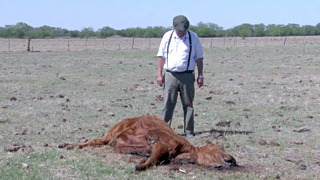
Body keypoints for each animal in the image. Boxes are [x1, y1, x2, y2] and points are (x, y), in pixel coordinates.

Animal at [60, 114, 235, 171]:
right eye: (219, 147)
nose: (232, 159)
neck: (183, 150)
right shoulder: (161, 143)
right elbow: (152, 160)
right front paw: (140, 165)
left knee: (96, 141)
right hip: (111, 133)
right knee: (94, 140)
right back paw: (66, 144)